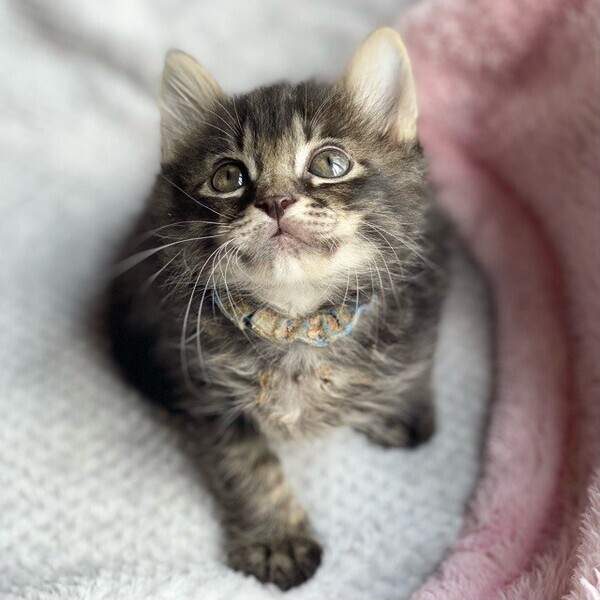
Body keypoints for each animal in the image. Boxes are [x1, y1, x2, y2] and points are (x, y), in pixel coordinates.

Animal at [106, 27, 447, 591]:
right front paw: (276, 542)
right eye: (229, 177)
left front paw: (401, 408)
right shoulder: (205, 389)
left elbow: (413, 366)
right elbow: (247, 467)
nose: (275, 201)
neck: (297, 319)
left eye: (330, 163)